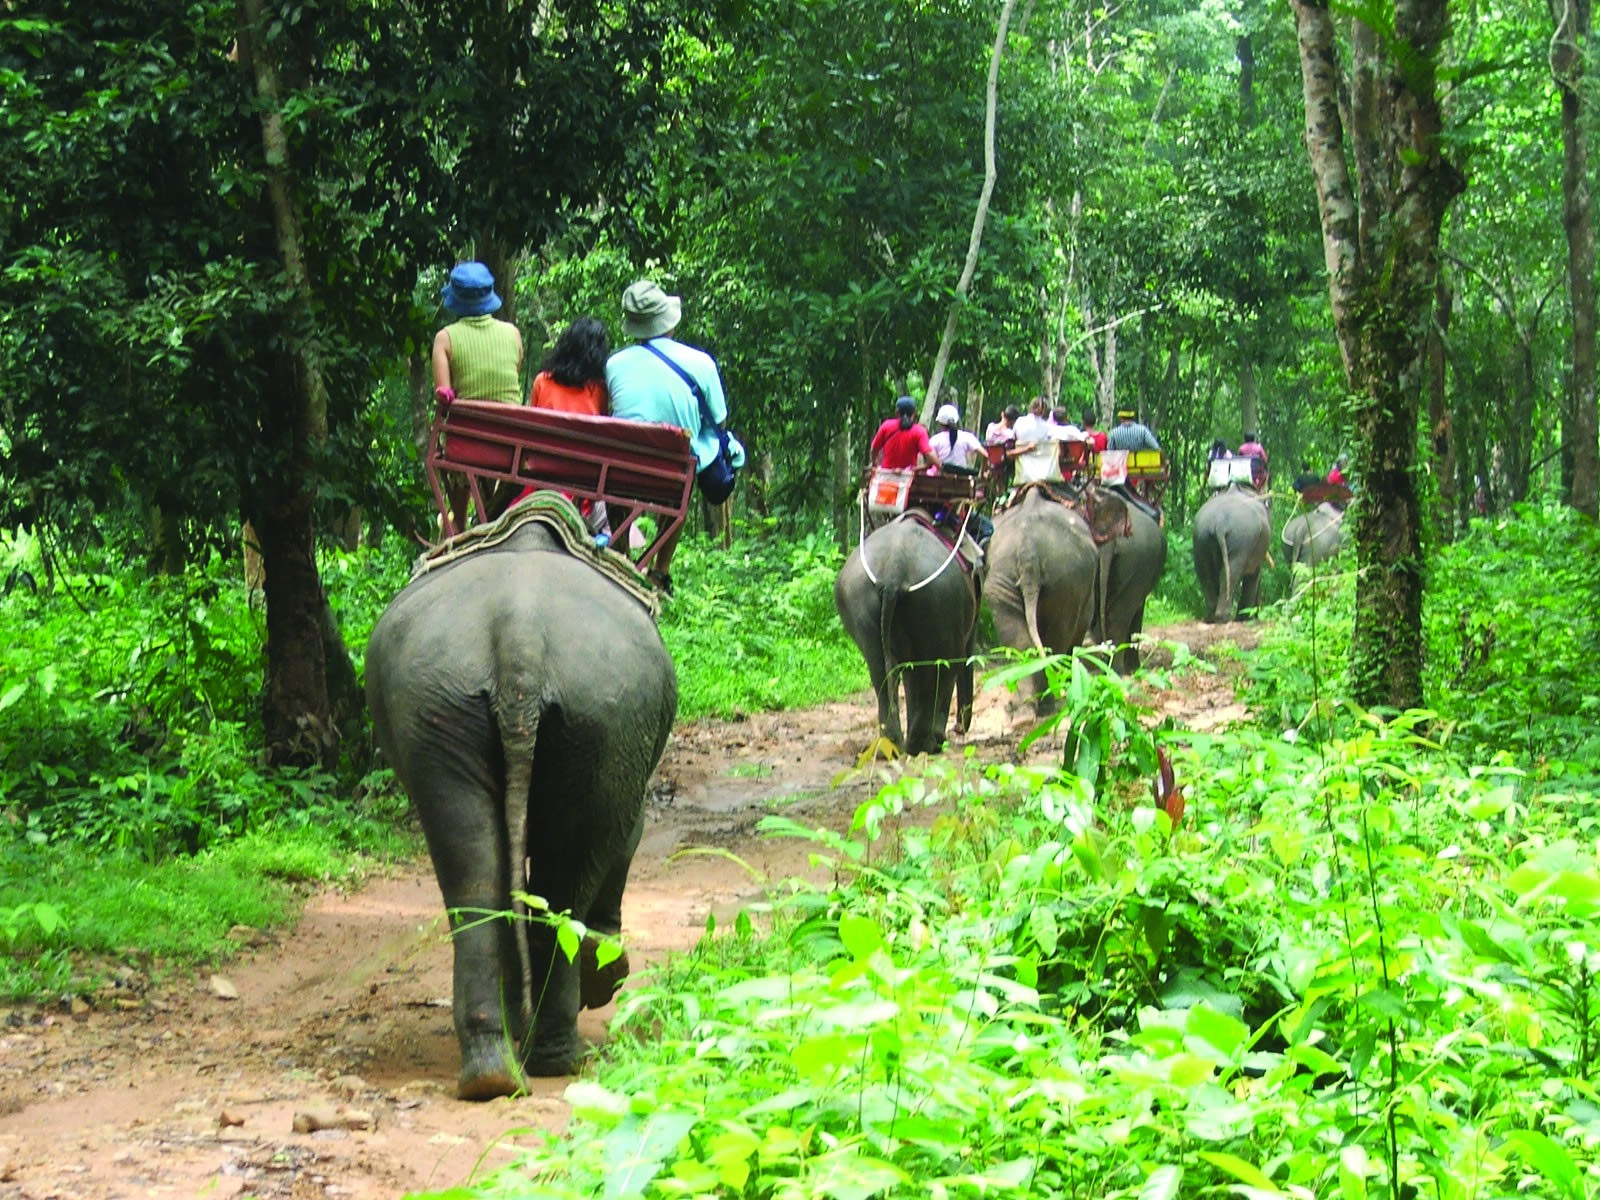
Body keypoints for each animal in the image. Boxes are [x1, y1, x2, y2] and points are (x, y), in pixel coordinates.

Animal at [364, 521, 675, 1107]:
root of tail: (520, 637)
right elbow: (629, 830)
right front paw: (607, 972)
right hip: (605, 716)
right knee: (564, 875)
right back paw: (554, 1057)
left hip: (443, 709)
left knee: (473, 867)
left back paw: (494, 1072)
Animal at [832, 515, 979, 755]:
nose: (959, 728)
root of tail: (894, 571)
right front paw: (939, 739)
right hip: (938, 601)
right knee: (941, 665)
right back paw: (923, 745)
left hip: (859, 599)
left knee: (880, 669)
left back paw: (892, 746)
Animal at [1190, 483, 1273, 624]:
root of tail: (1220, 523)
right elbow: (1254, 574)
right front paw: (1247, 618)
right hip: (1241, 539)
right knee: (1231, 573)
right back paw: (1224, 618)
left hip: (1201, 538)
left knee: (1205, 573)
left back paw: (1211, 617)